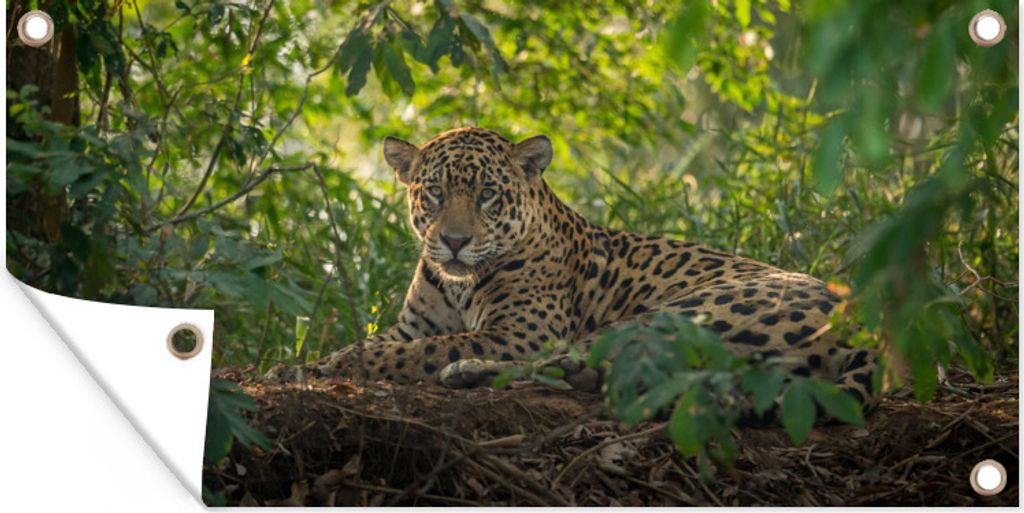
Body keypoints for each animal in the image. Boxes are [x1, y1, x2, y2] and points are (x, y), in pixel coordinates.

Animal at [319, 127, 878, 418]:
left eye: (487, 195)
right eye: (434, 192)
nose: (455, 242)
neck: (458, 284)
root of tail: (861, 326)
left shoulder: (518, 333)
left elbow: (425, 350)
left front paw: (331, 367)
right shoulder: (410, 325)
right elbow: (388, 342)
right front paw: (327, 360)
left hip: (670, 316)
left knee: (559, 364)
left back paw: (466, 373)